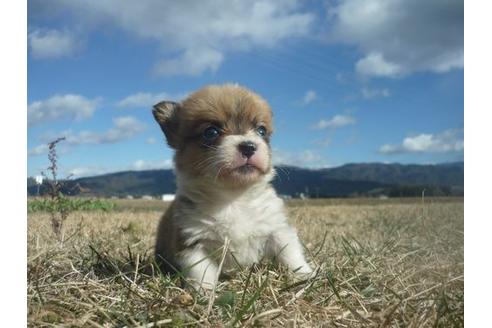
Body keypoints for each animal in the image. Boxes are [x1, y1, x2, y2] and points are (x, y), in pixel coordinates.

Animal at [152, 84, 312, 290]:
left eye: (261, 130)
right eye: (211, 132)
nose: (249, 146)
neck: (234, 198)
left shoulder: (277, 229)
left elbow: (290, 254)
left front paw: (305, 275)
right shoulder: (193, 244)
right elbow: (201, 273)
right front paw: (203, 293)